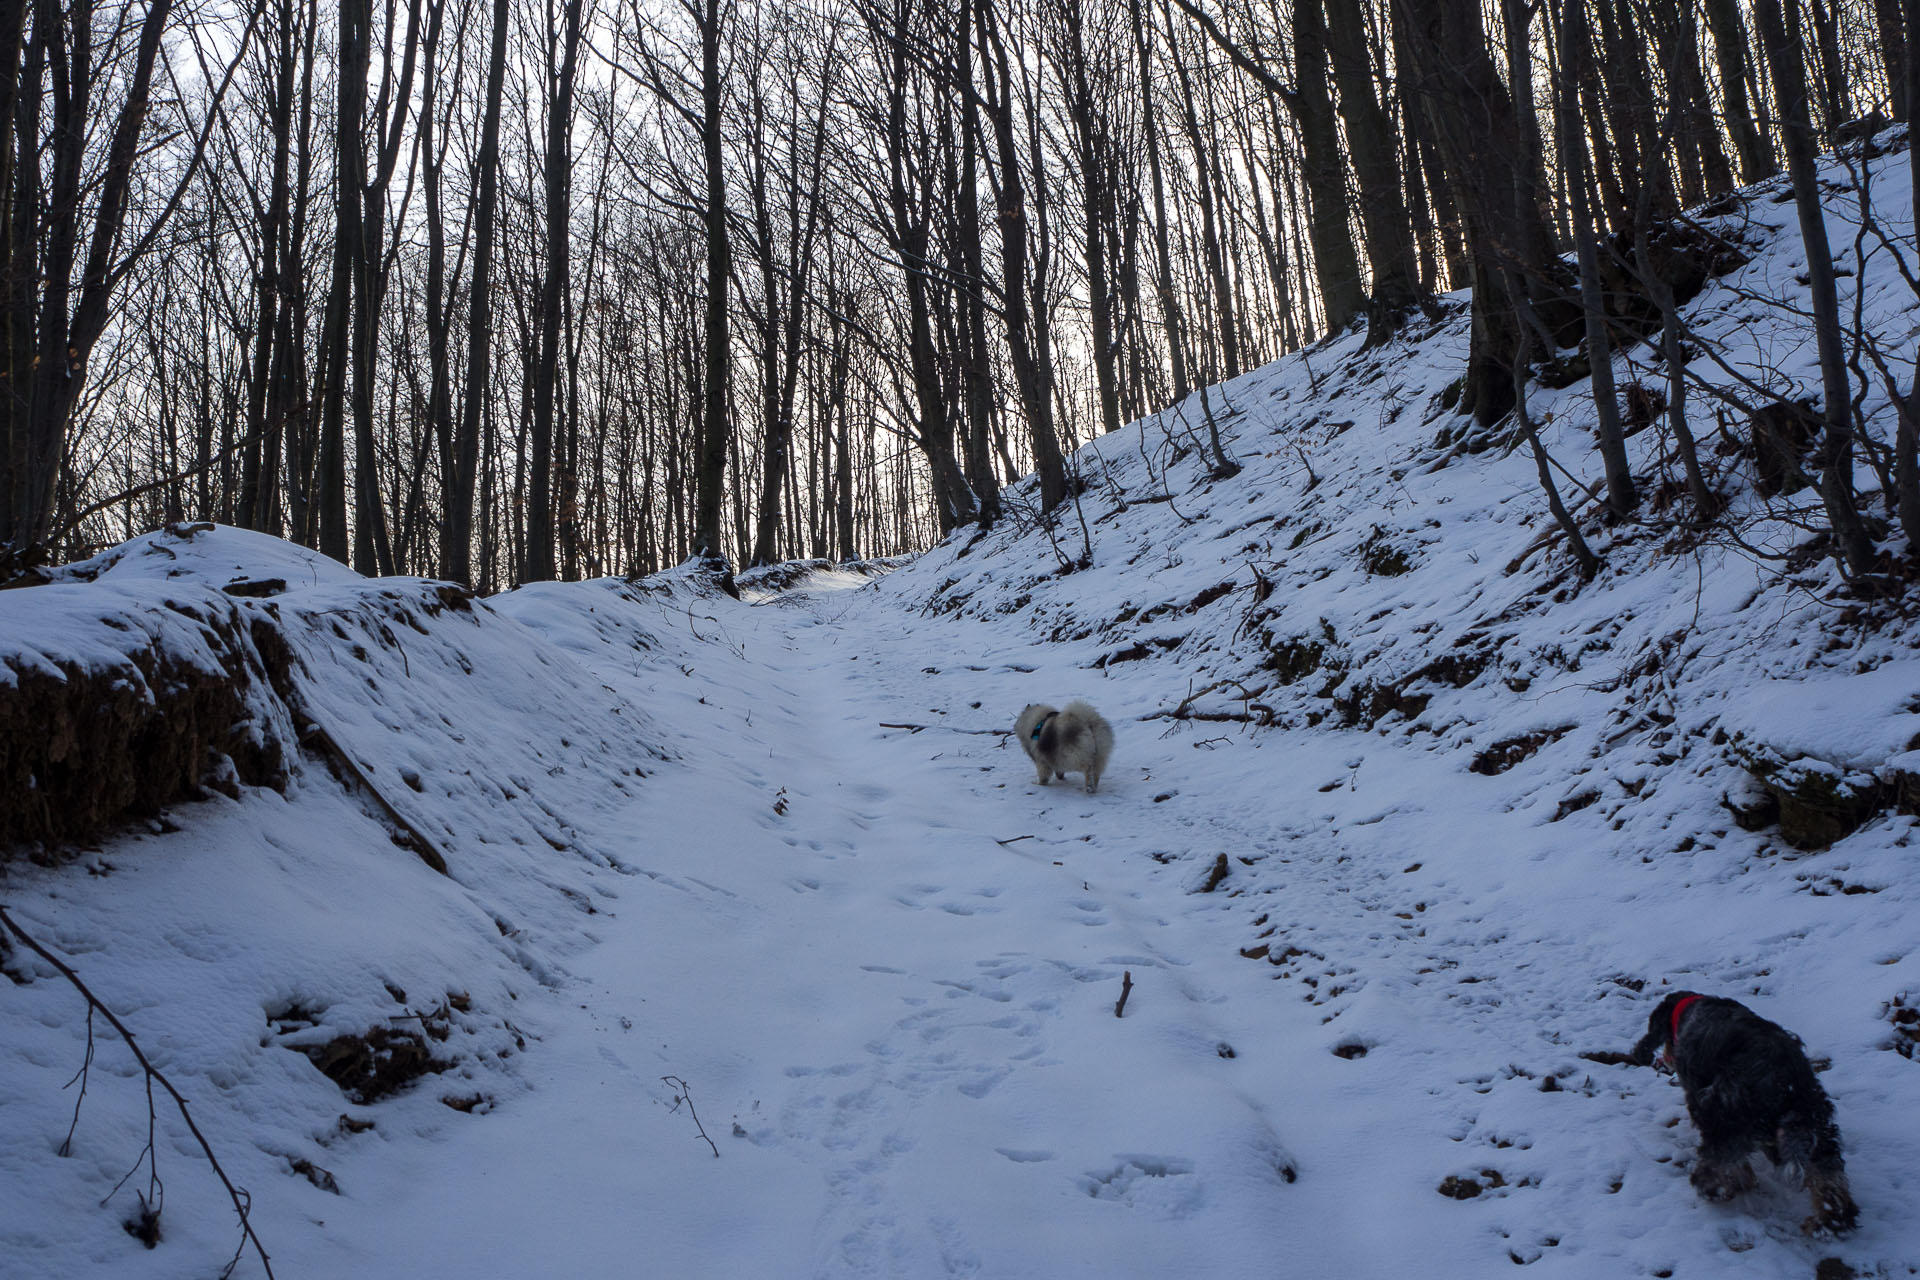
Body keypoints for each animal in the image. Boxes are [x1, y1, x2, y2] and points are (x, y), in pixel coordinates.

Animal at [1628, 990, 1850, 1228]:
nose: (1667, 1058)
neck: (1687, 1008)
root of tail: (1786, 1084)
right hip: (1818, 1124)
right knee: (1828, 1173)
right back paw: (1831, 1219)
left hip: (1722, 1113)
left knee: (1717, 1164)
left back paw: (1717, 1188)